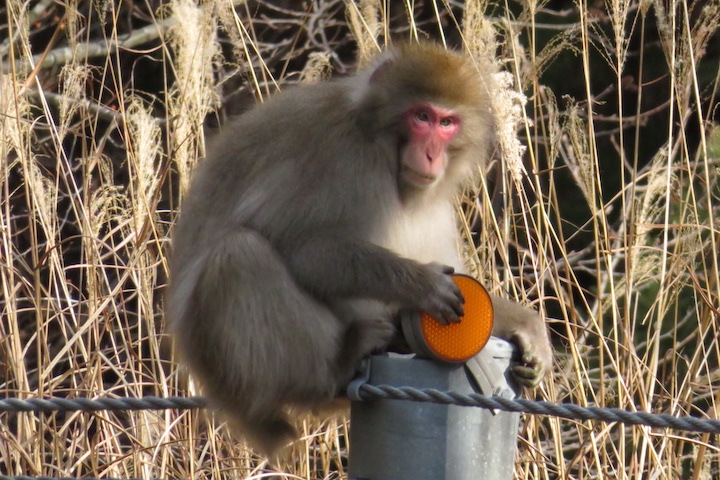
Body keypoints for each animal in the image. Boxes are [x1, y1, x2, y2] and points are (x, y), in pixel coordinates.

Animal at [167, 43, 552, 456]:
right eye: (421, 116)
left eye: (447, 122)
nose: (431, 155)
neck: (378, 139)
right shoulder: (343, 157)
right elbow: (304, 248)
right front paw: (421, 284)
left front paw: (523, 325)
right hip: (227, 363)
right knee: (239, 254)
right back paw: (336, 367)